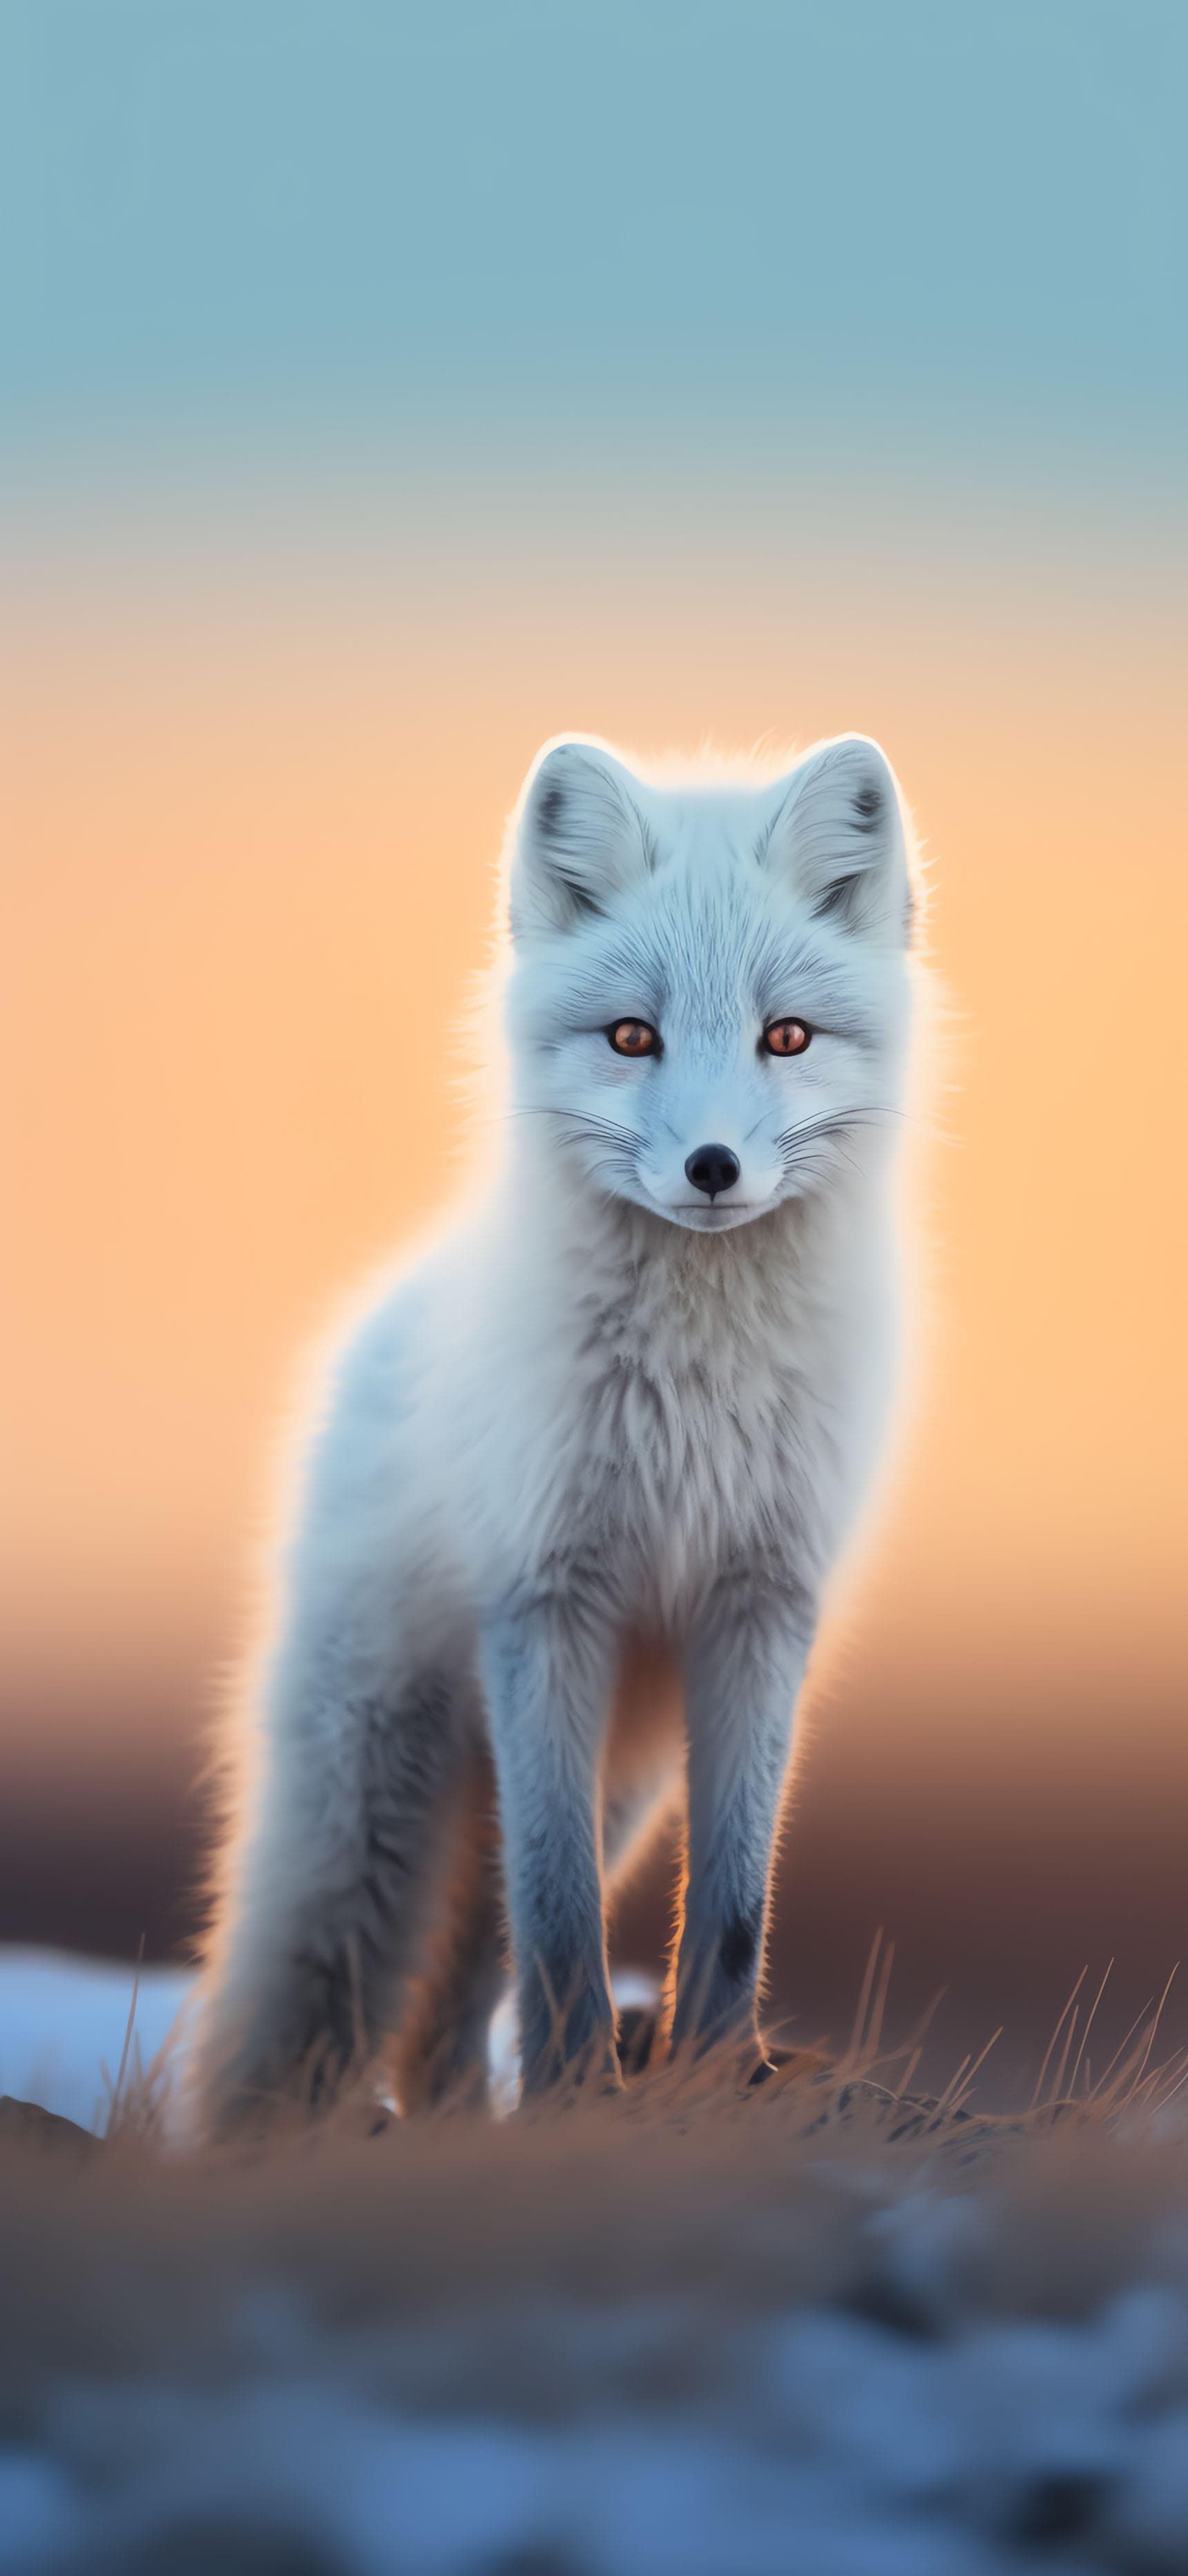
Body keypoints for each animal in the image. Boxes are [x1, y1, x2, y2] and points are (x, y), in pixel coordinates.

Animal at [189, 729, 920, 2129]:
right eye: (632, 1035)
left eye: (786, 1036)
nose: (710, 1167)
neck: (697, 1384)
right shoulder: (544, 1603)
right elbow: (560, 1916)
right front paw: (582, 2091)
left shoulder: (761, 1606)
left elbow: (732, 1906)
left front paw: (704, 2075)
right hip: (382, 1788)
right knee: (322, 1998)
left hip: (624, 1777)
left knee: (448, 2007)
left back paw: (460, 2123)